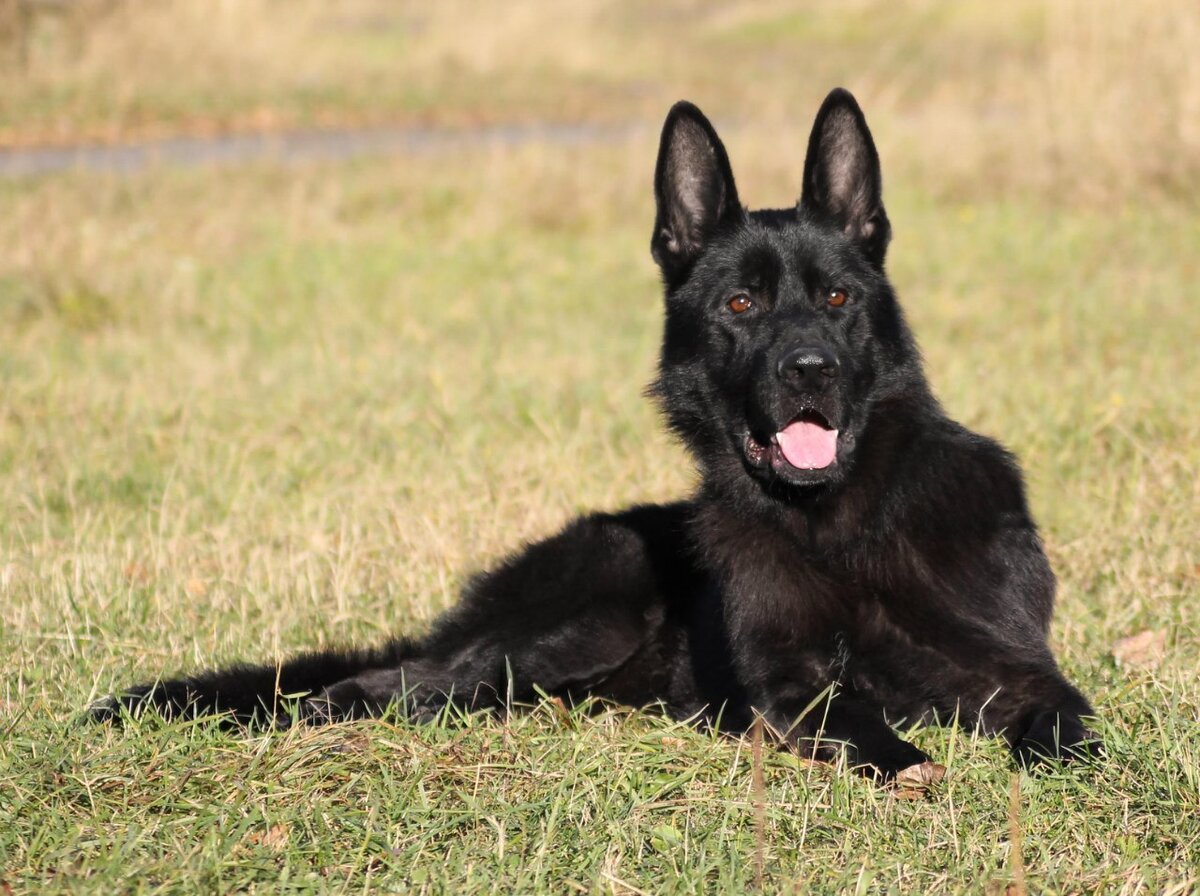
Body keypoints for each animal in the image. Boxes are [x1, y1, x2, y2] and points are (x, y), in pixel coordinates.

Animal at [96, 87, 1104, 782]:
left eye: (836, 299)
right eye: (740, 305)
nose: (808, 370)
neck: (839, 523)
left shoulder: (1021, 671)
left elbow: (1068, 725)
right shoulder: (794, 691)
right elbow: (860, 721)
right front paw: (907, 765)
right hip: (578, 617)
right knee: (385, 685)